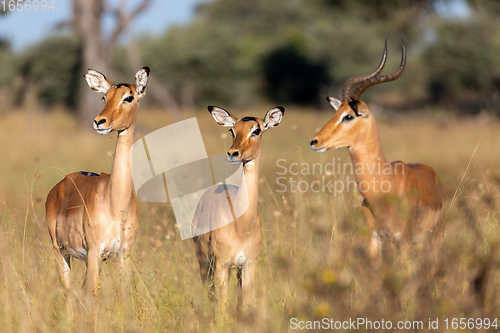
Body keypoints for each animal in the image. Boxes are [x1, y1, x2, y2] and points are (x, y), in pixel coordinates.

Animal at [45, 66, 148, 308]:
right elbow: (92, 295)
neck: (115, 203)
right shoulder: (93, 251)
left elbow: (123, 295)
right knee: (68, 292)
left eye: (129, 97)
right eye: (104, 96)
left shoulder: (123, 255)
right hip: (60, 252)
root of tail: (60, 184)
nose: (99, 121)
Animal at [192, 105, 286, 312]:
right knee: (210, 296)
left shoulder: (248, 265)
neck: (241, 224)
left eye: (257, 130)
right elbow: (222, 308)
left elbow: (245, 305)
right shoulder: (222, 264)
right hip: (205, 263)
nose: (233, 153)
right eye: (232, 130)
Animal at [310, 41, 444, 254]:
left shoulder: (404, 241)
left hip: (434, 239)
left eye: (348, 116)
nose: (315, 141)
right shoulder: (374, 238)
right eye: (336, 113)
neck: (384, 185)